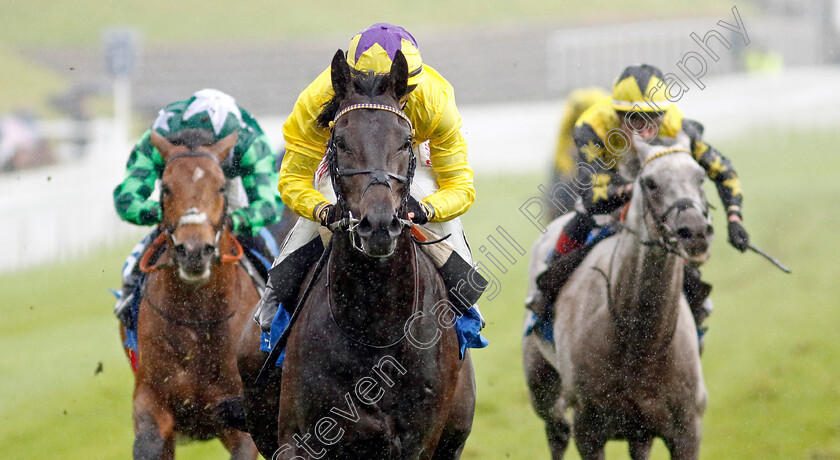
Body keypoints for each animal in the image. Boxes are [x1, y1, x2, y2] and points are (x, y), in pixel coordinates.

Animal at [123, 128, 258, 460]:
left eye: (221, 187)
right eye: (166, 188)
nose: (194, 251)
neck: (197, 321)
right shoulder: (150, 398)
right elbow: (148, 443)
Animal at [236, 50, 476, 460]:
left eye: (405, 141)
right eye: (341, 140)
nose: (377, 225)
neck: (375, 329)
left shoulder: (418, 445)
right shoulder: (298, 439)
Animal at [524, 133, 708, 460]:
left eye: (700, 177)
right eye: (650, 183)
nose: (695, 231)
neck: (641, 341)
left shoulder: (688, 428)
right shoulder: (589, 428)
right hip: (540, 384)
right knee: (557, 430)